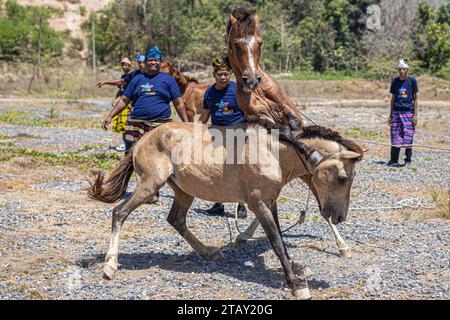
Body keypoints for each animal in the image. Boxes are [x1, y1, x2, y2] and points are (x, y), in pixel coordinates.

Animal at [88, 123, 362, 300]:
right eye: (342, 178)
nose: (339, 216)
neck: (274, 151)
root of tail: (141, 140)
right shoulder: (258, 203)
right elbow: (276, 242)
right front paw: (296, 284)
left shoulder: (270, 202)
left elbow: (280, 239)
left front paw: (298, 271)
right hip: (149, 185)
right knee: (119, 213)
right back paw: (110, 266)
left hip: (184, 190)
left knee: (176, 219)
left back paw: (208, 252)